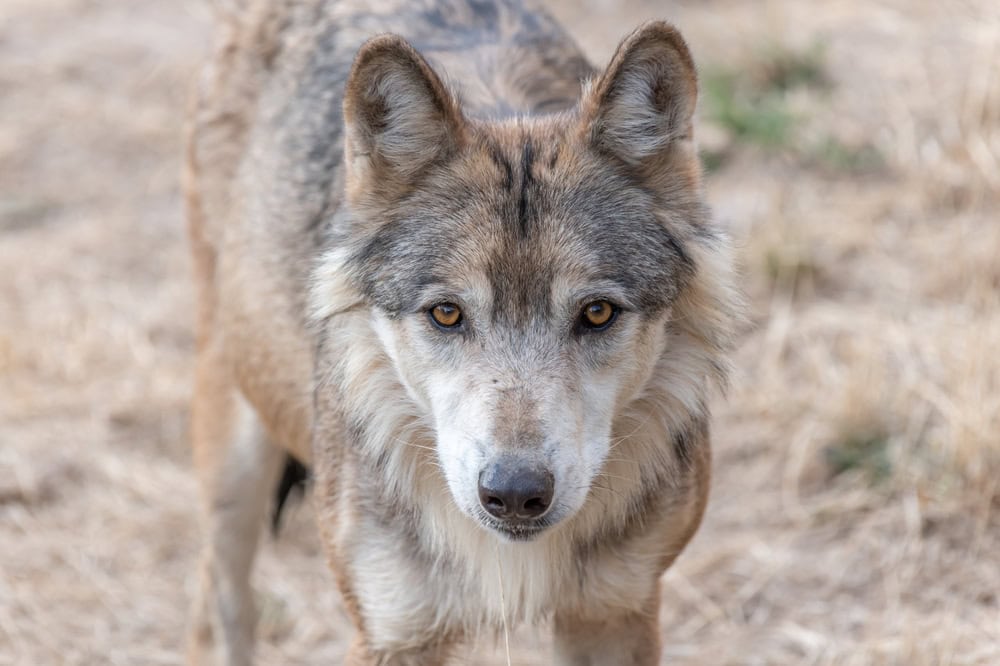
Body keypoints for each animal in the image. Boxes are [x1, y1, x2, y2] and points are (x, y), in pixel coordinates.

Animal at [184, 0, 741, 663]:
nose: (516, 492)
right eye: (447, 314)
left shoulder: (613, 613)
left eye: (598, 313)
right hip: (232, 461)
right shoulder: (394, 632)